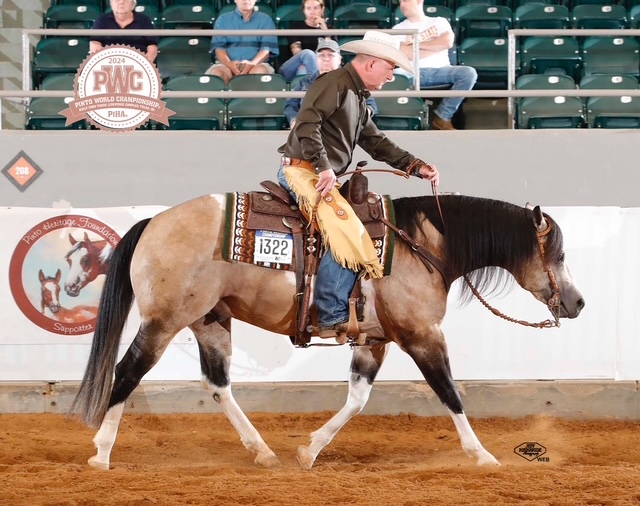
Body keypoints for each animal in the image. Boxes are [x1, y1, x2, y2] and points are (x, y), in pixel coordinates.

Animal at [69, 189, 584, 470]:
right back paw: (101, 452)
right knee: (127, 372)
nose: (577, 302)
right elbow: (451, 394)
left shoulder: (375, 341)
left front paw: (310, 451)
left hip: (210, 319)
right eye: (557, 254)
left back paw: (263, 451)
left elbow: (357, 400)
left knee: (217, 384)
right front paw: (482, 456)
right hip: (163, 322)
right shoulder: (422, 335)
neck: (423, 245)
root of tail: (154, 220)